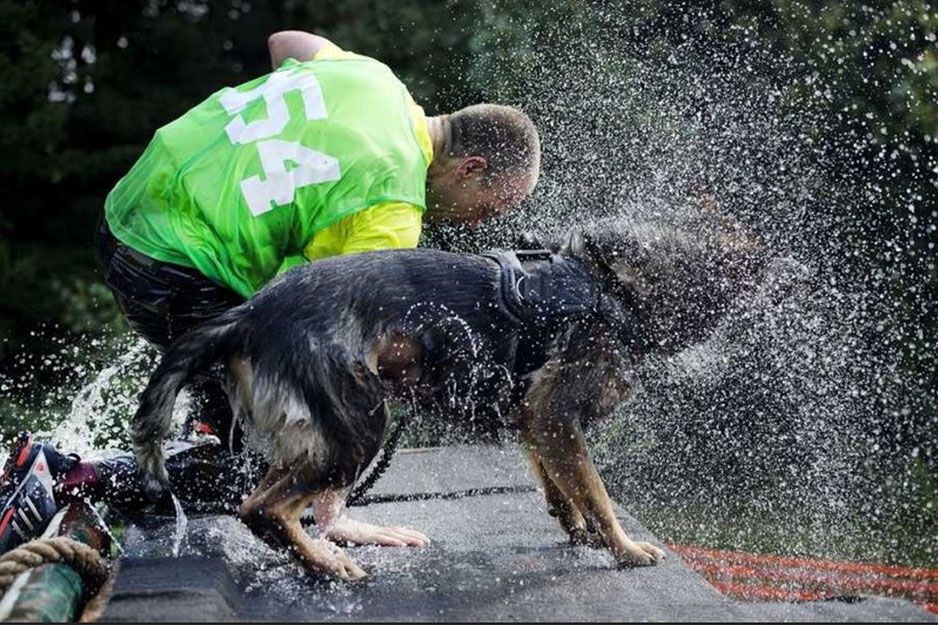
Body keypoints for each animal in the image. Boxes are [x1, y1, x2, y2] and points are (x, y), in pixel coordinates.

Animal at [132, 213, 772, 580]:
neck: (613, 290)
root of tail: (249, 314)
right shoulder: (557, 415)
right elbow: (597, 493)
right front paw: (624, 550)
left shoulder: (537, 424)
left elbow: (562, 488)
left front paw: (578, 530)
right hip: (359, 424)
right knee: (262, 508)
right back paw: (327, 565)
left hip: (327, 436)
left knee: (280, 505)